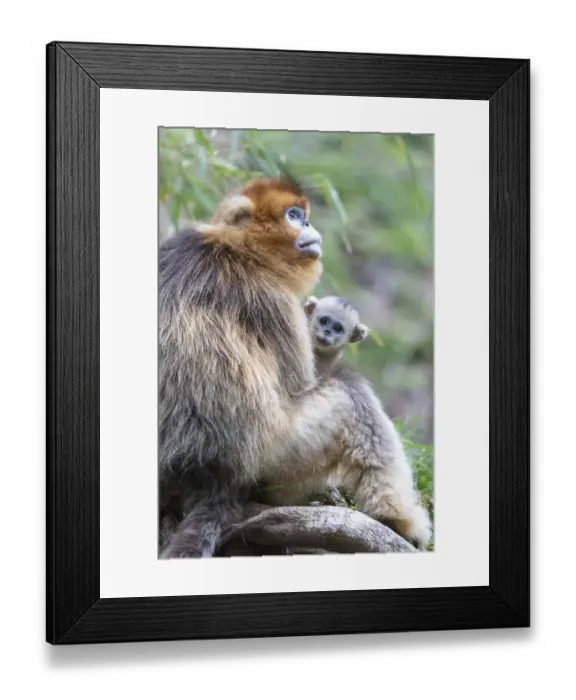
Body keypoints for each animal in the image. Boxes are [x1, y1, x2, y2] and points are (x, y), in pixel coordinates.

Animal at [158, 177, 431, 558]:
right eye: (294, 215)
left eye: (303, 216)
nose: (309, 227)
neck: (231, 246)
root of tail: (205, 474)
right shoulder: (274, 297)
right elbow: (299, 385)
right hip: (278, 454)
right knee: (353, 394)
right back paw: (400, 521)